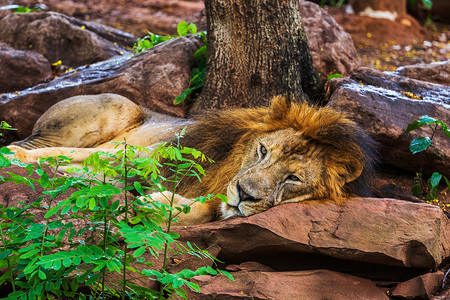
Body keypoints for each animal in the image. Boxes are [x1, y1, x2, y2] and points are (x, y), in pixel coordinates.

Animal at [8, 94, 378, 225]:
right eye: (263, 150)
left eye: (293, 179)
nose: (244, 194)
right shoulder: (143, 155)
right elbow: (77, 158)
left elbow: (206, 209)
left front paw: (156, 203)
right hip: (119, 109)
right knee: (34, 144)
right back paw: (17, 155)